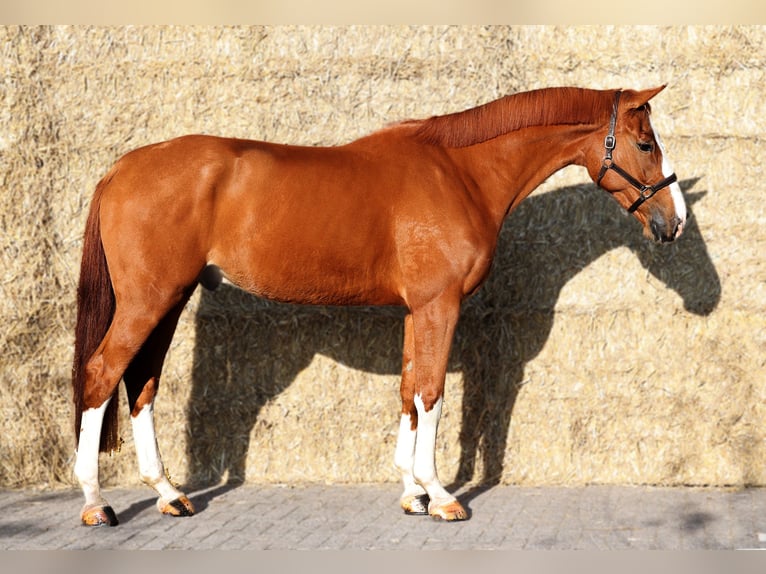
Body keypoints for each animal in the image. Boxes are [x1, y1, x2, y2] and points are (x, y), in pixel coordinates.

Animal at [70, 85, 684, 528]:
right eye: (646, 145)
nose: (673, 222)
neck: (459, 172)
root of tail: (121, 168)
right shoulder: (440, 306)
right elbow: (433, 392)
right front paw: (440, 495)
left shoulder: (419, 310)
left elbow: (410, 390)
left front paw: (412, 493)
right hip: (148, 302)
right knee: (102, 374)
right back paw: (97, 503)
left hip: (169, 300)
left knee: (141, 384)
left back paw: (169, 493)